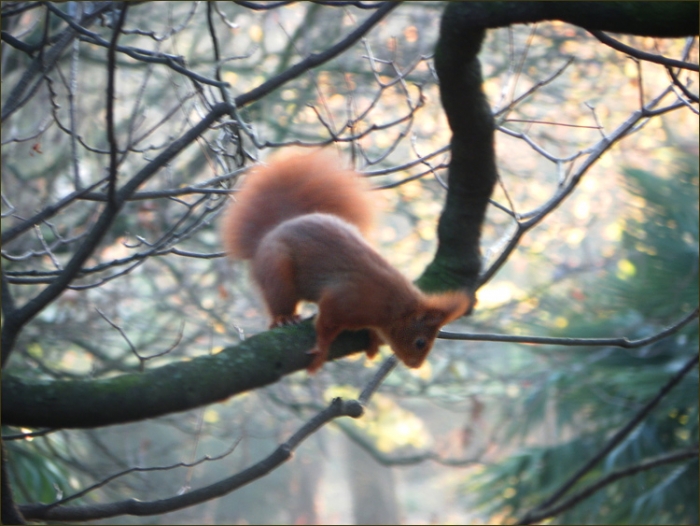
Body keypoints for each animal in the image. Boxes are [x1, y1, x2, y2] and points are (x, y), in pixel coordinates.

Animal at [221, 149, 470, 373]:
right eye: (420, 342)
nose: (416, 365)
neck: (391, 305)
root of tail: (274, 229)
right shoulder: (343, 300)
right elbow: (325, 325)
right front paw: (321, 351)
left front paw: (372, 340)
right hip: (276, 271)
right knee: (279, 299)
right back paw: (284, 318)